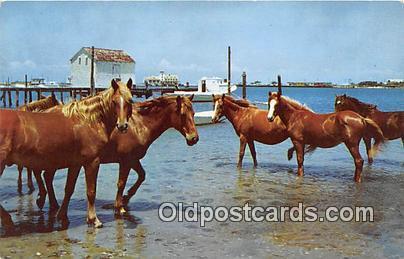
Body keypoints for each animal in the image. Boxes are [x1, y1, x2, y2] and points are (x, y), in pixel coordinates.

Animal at [0, 79, 133, 228]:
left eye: (130, 100)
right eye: (114, 102)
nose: (122, 126)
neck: (88, 121)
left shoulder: (76, 163)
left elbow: (69, 189)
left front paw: (62, 216)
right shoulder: (92, 162)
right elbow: (91, 191)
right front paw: (93, 219)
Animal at [38, 94, 199, 216]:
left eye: (193, 113)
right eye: (182, 114)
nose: (194, 138)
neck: (139, 124)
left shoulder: (133, 160)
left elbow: (142, 176)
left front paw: (126, 198)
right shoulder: (126, 161)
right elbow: (121, 183)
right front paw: (119, 205)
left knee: (47, 176)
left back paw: (52, 204)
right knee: (46, 176)